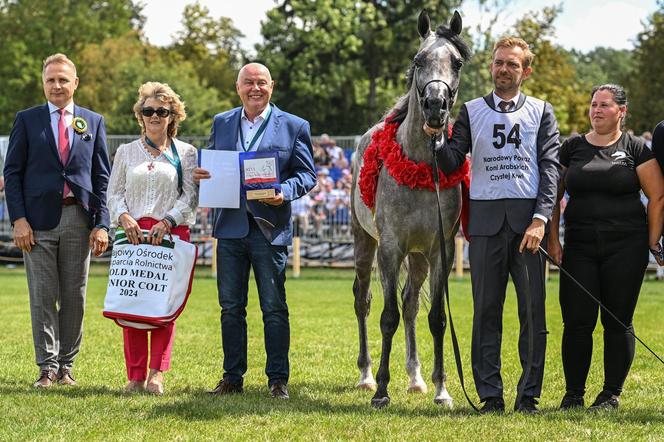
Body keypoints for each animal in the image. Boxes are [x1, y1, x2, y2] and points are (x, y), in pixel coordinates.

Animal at [350, 9, 470, 408]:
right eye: (418, 60)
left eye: (457, 62)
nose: (435, 106)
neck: (420, 163)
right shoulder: (390, 248)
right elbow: (387, 316)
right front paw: (382, 391)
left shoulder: (439, 251)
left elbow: (436, 318)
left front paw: (442, 389)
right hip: (364, 243)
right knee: (364, 301)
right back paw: (367, 376)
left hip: (417, 257)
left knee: (412, 303)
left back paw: (416, 378)